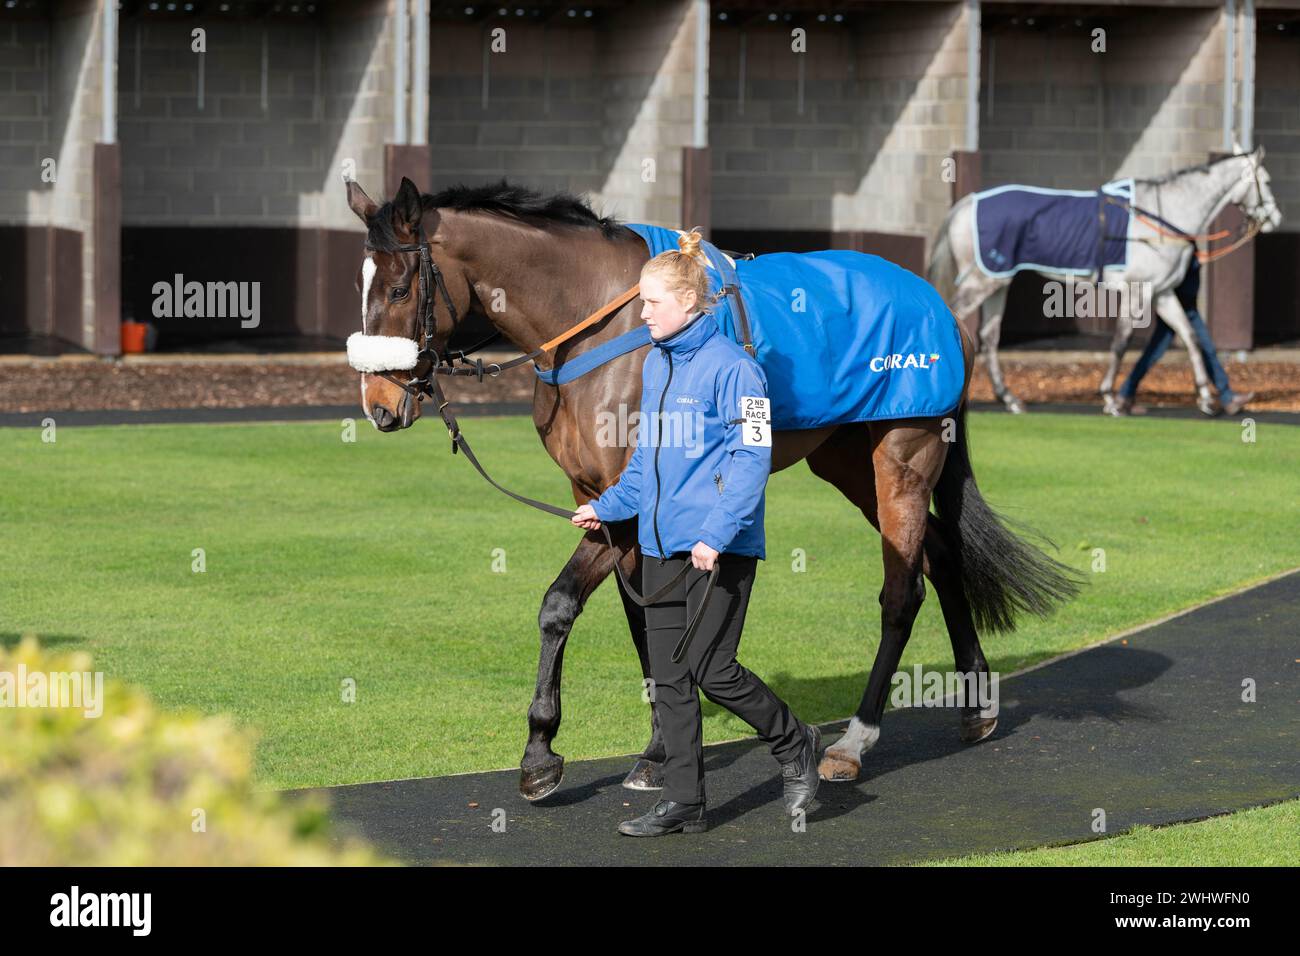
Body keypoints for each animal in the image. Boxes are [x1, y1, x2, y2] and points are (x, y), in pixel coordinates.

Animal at [343, 174, 1076, 801]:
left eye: (402, 286)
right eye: (362, 282)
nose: (379, 405)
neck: (605, 324)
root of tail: (939, 304)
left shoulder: (632, 504)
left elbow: (571, 607)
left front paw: (546, 752)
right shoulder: (602, 502)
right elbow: (630, 616)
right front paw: (645, 750)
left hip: (904, 455)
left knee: (903, 591)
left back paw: (855, 742)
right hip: (848, 463)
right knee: (944, 556)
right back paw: (977, 703)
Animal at [930, 148, 1284, 416]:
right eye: (1266, 180)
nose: (1275, 218)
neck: (1162, 213)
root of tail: (966, 203)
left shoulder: (1162, 293)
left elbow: (1189, 336)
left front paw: (1206, 398)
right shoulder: (1137, 292)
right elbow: (1121, 342)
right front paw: (1111, 399)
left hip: (997, 282)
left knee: (989, 337)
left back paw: (1009, 398)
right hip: (981, 281)